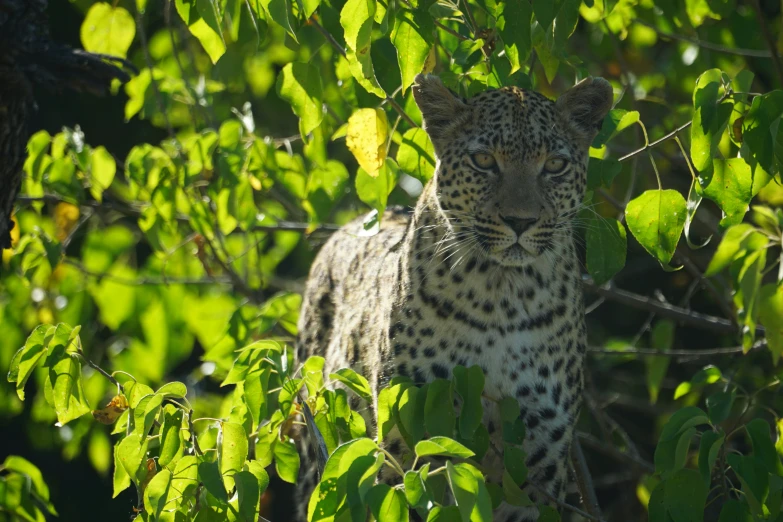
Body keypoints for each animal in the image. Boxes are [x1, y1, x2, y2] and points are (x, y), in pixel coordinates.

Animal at [292, 74, 612, 520]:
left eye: (554, 165)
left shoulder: (538, 453)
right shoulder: (411, 427)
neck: (502, 296)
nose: (520, 221)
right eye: (483, 161)